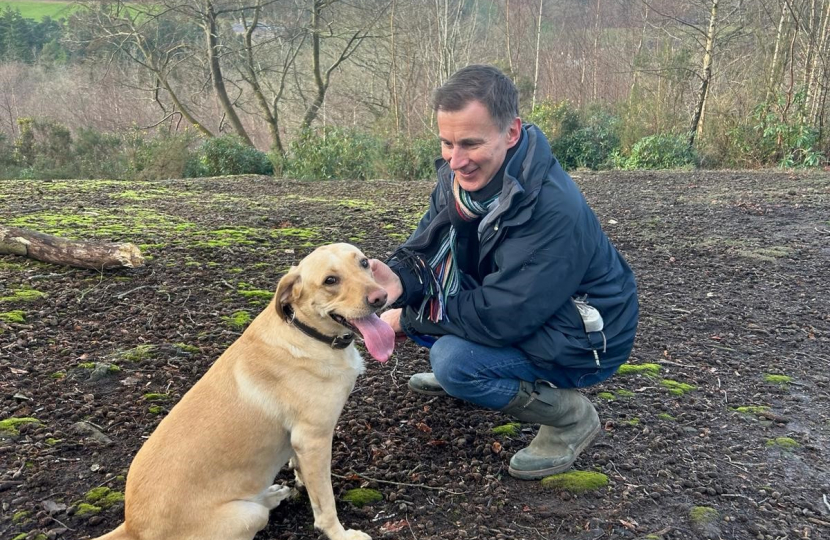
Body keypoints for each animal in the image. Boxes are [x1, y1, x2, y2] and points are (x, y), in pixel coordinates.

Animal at [94, 245, 396, 540]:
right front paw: (339, 534)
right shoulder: (314, 439)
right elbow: (325, 504)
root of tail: (132, 526)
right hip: (249, 514)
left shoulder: (300, 443)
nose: (381, 296)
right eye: (330, 280)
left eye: (364, 263)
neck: (307, 334)